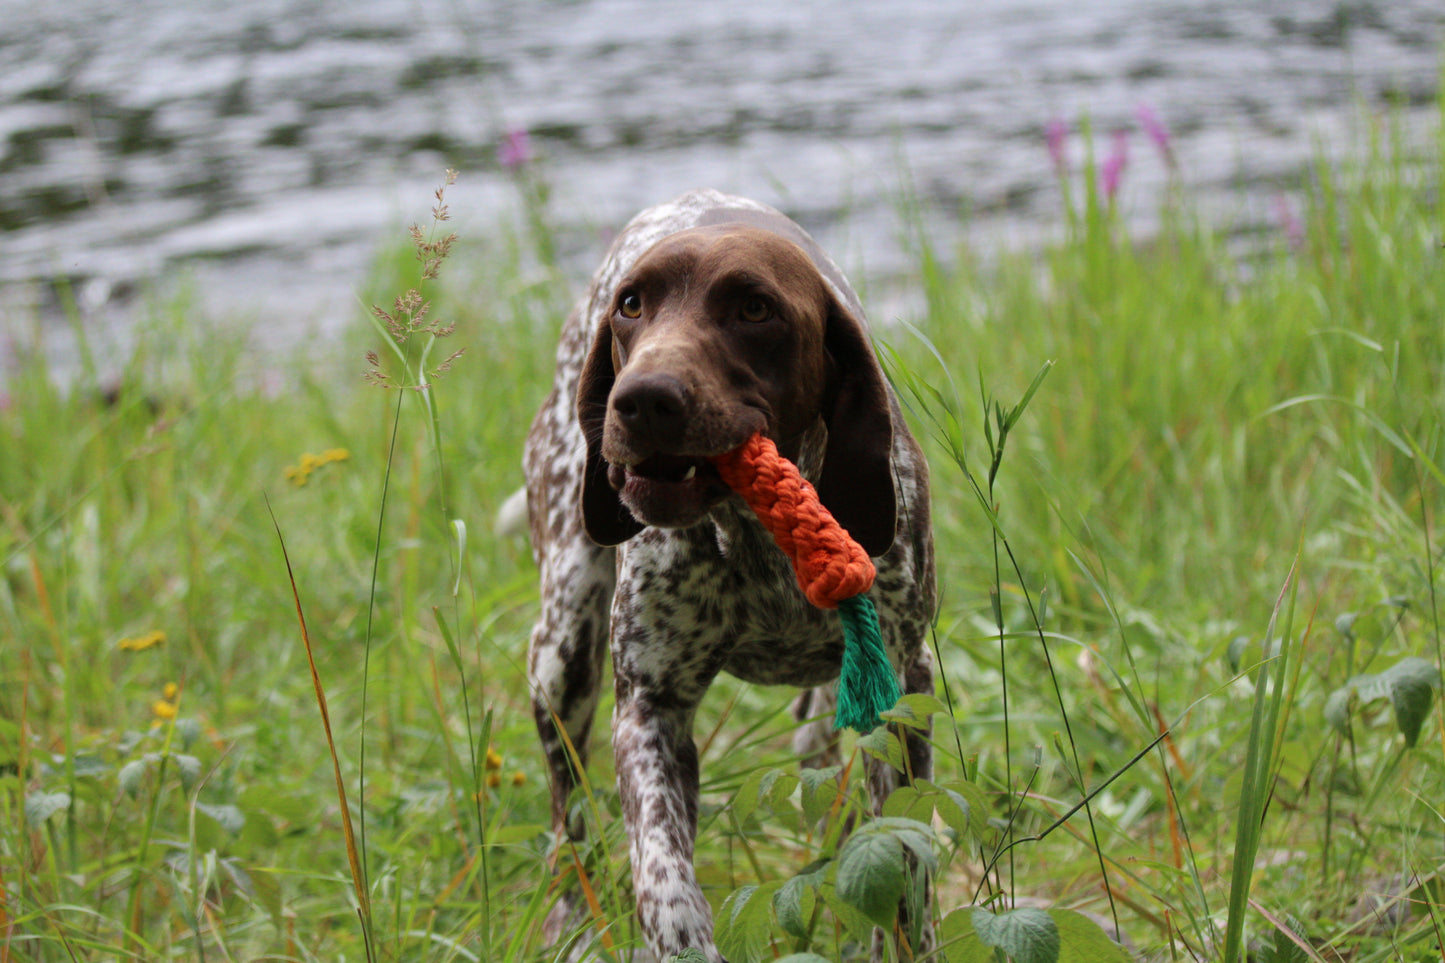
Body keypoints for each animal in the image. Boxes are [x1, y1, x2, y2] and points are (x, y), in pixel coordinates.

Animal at [520, 189, 936, 960]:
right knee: (569, 814)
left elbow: (900, 857)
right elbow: (664, 879)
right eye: (631, 304)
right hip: (559, 657)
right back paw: (570, 915)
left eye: (754, 308)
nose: (640, 399)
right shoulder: (649, 709)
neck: (757, 536)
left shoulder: (900, 683)